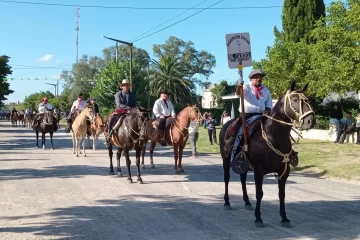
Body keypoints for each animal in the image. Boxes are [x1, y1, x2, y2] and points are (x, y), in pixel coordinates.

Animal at [219, 80, 316, 227]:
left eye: (307, 99)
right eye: (294, 99)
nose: (310, 120)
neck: (273, 136)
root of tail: (227, 124)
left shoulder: (284, 171)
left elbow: (282, 194)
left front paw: (284, 217)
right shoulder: (259, 171)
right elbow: (259, 193)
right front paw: (258, 218)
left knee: (242, 179)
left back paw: (247, 202)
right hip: (226, 160)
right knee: (226, 178)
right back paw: (227, 202)